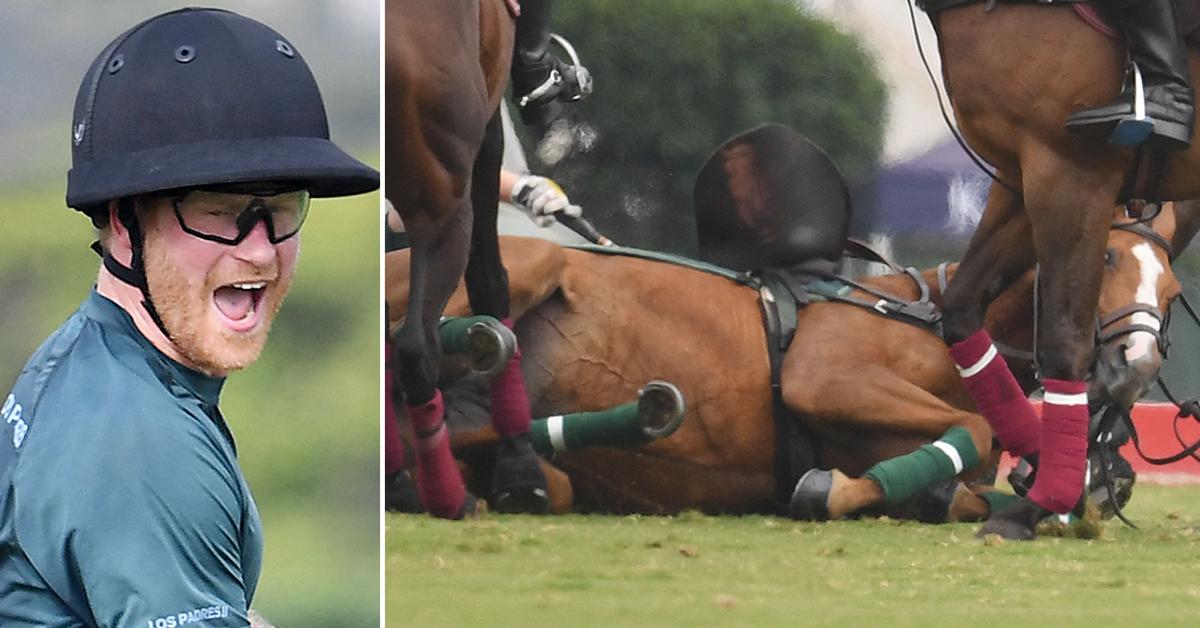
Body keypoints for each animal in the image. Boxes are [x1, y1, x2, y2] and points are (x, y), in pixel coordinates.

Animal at [386, 201, 1180, 521]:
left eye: (1172, 290)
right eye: (1107, 258)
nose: (1133, 364)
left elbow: (960, 488)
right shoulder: (823, 375)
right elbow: (976, 433)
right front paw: (827, 489)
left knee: (496, 451)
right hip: (522, 268)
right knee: (421, 359)